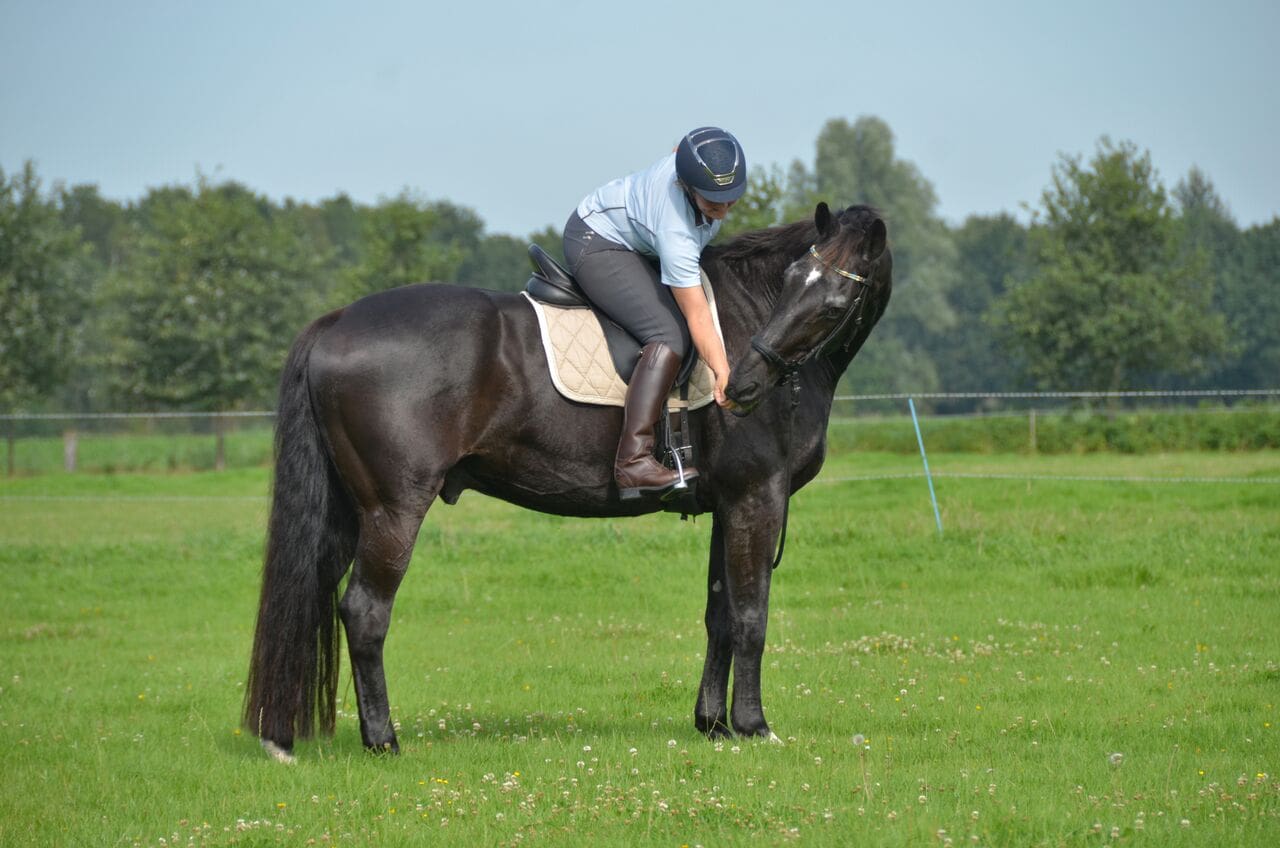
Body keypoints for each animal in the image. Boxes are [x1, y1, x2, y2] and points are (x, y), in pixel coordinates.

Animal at [244, 202, 896, 758]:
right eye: (791, 283)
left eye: (833, 301)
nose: (742, 385)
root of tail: (337, 321)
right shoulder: (756, 498)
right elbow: (750, 617)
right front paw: (753, 726)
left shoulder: (726, 505)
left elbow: (720, 615)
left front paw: (712, 724)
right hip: (392, 510)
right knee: (364, 612)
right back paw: (383, 740)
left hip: (345, 512)